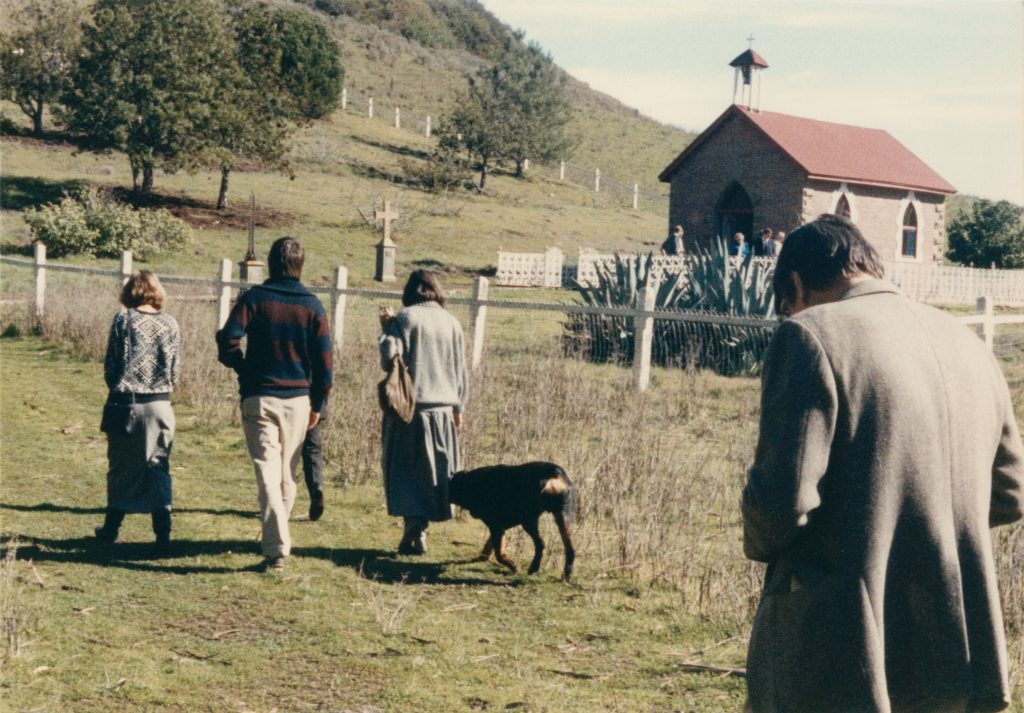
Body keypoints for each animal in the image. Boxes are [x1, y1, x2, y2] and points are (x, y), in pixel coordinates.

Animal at [448, 458, 577, 581]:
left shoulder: (496, 526)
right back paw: (566, 575)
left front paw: (513, 566)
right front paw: (482, 558)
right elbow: (490, 546)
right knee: (570, 549)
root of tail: (554, 474)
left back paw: (533, 568)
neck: (471, 484)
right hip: (563, 518)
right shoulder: (499, 527)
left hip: (529, 521)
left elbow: (498, 553)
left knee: (541, 544)